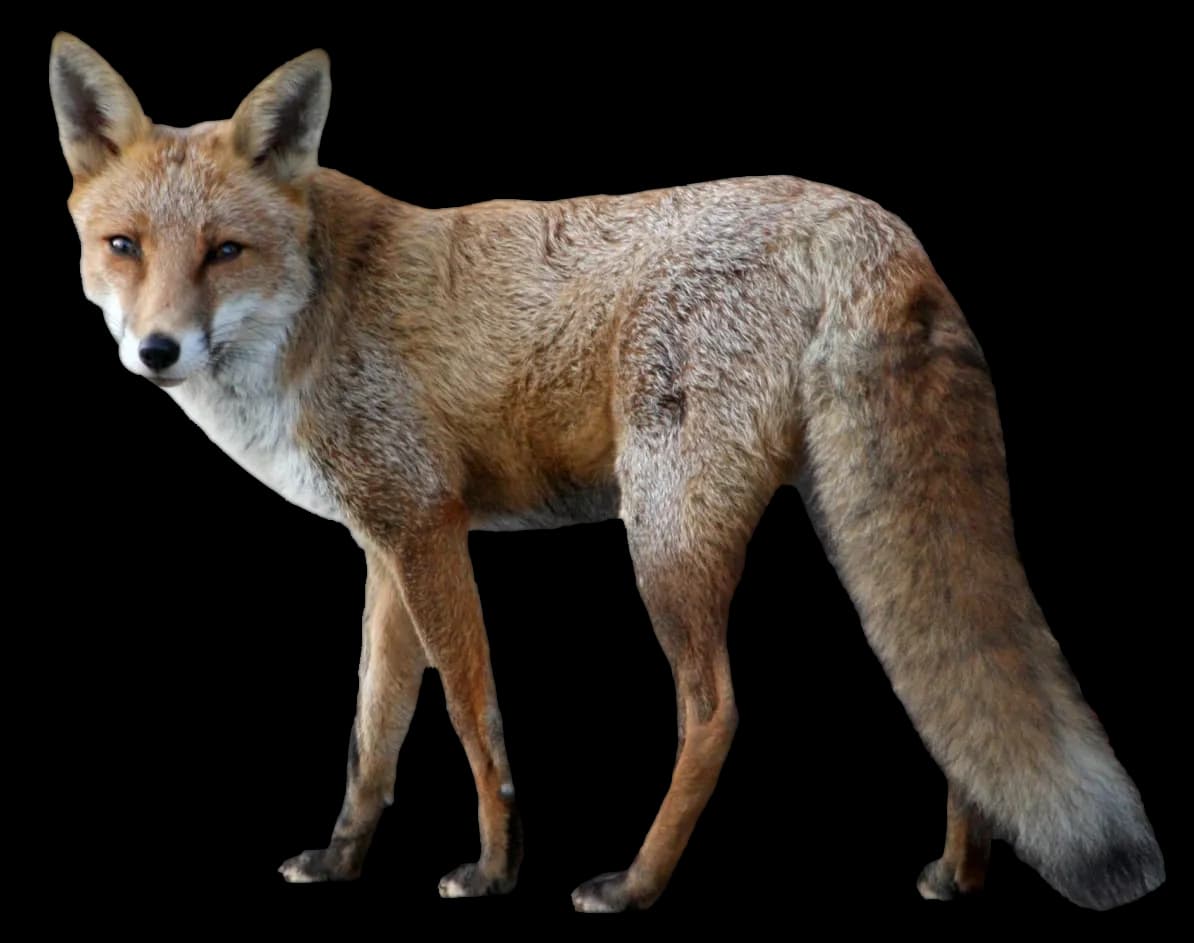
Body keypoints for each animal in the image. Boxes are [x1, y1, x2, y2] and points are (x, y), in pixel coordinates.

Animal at [50, 32, 1165, 913]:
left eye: (225, 251)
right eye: (124, 246)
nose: (158, 350)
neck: (316, 313)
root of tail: (870, 223)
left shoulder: (426, 525)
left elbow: (471, 714)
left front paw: (495, 870)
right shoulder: (384, 543)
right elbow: (373, 731)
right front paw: (341, 858)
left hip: (665, 536)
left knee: (715, 713)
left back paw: (635, 883)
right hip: (851, 525)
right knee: (941, 693)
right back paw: (959, 872)